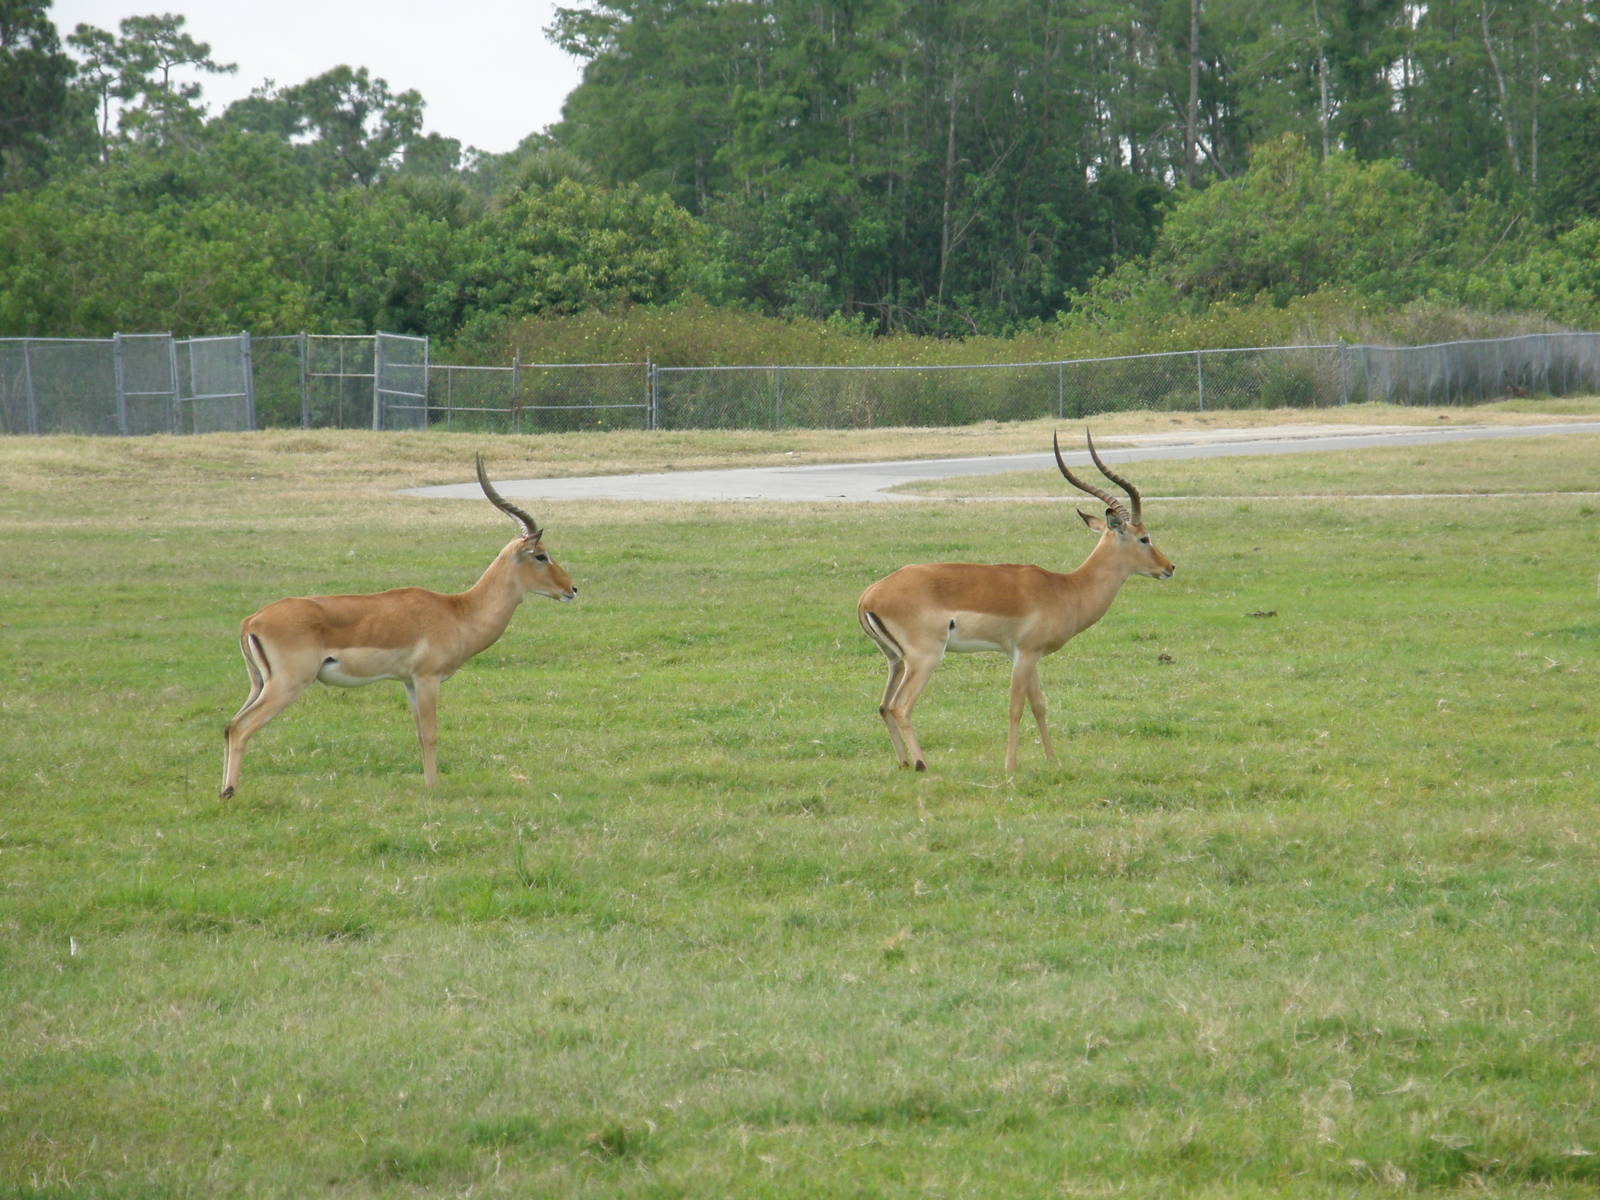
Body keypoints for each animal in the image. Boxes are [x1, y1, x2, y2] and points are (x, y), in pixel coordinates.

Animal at [220, 455, 577, 798]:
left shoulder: (408, 682)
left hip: (259, 684)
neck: (459, 611)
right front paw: (433, 790)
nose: (571, 589)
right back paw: (228, 793)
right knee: (240, 727)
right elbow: (431, 733)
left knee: (229, 724)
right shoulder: (427, 679)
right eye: (541, 555)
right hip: (288, 684)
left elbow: (418, 733)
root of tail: (252, 620)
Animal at [858, 431, 1174, 773]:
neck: (1065, 588)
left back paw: (904, 762)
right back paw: (921, 764)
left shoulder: (1029, 656)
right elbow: (1016, 707)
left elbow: (1040, 705)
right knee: (901, 706)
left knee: (884, 705)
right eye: (1144, 537)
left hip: (895, 659)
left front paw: (1053, 761)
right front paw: (1010, 766)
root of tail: (869, 595)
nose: (1169, 567)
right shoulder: (1024, 654)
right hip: (925, 658)